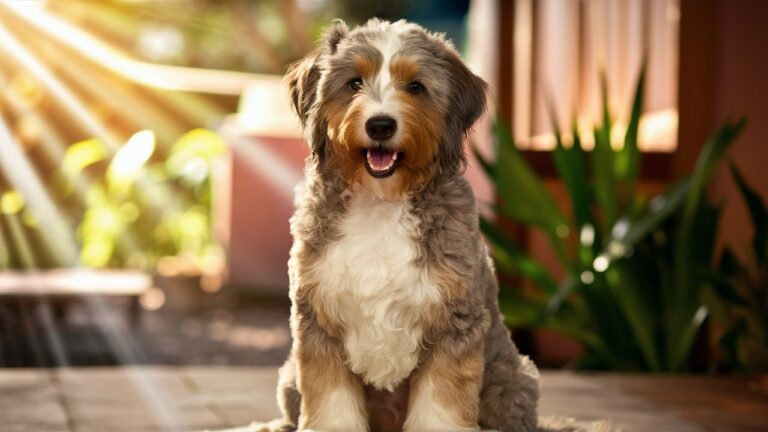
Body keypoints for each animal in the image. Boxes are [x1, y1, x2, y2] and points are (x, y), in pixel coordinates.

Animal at [264, 19, 536, 432]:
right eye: (354, 83)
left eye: (416, 87)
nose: (380, 125)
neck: (382, 202)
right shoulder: (317, 322)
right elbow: (331, 403)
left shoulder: (454, 325)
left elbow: (441, 406)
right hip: (290, 378)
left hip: (512, 382)